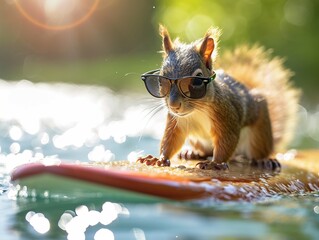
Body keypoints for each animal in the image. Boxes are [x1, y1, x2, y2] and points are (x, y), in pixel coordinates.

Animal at [138, 25, 300, 170]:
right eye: (160, 81)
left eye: (197, 81)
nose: (173, 105)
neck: (197, 111)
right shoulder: (176, 121)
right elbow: (170, 140)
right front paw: (159, 159)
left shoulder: (226, 114)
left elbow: (227, 141)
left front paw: (214, 164)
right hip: (198, 140)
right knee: (207, 151)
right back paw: (191, 152)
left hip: (259, 132)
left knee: (256, 150)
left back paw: (263, 160)